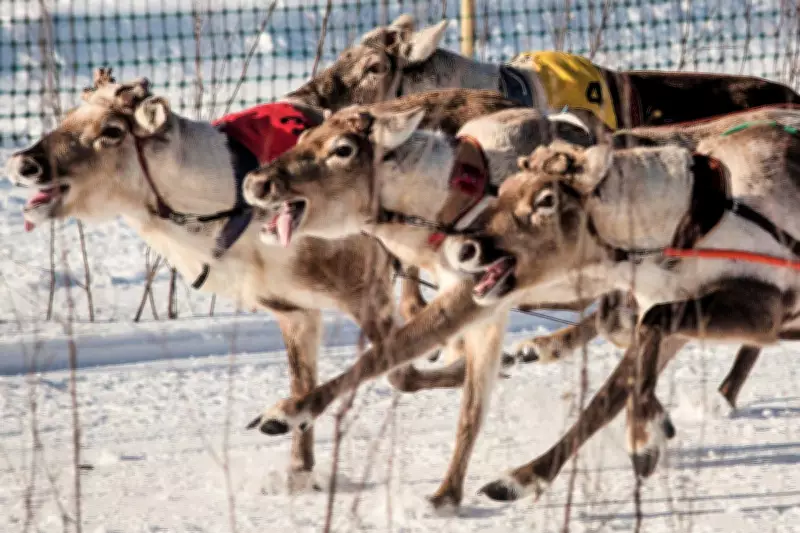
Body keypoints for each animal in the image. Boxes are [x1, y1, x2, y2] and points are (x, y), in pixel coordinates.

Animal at [2, 70, 521, 495]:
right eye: (69, 115)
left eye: (111, 131)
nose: (24, 163)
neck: (226, 211)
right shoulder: (294, 310)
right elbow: (310, 384)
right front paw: (298, 472)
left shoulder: (363, 289)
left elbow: (399, 370)